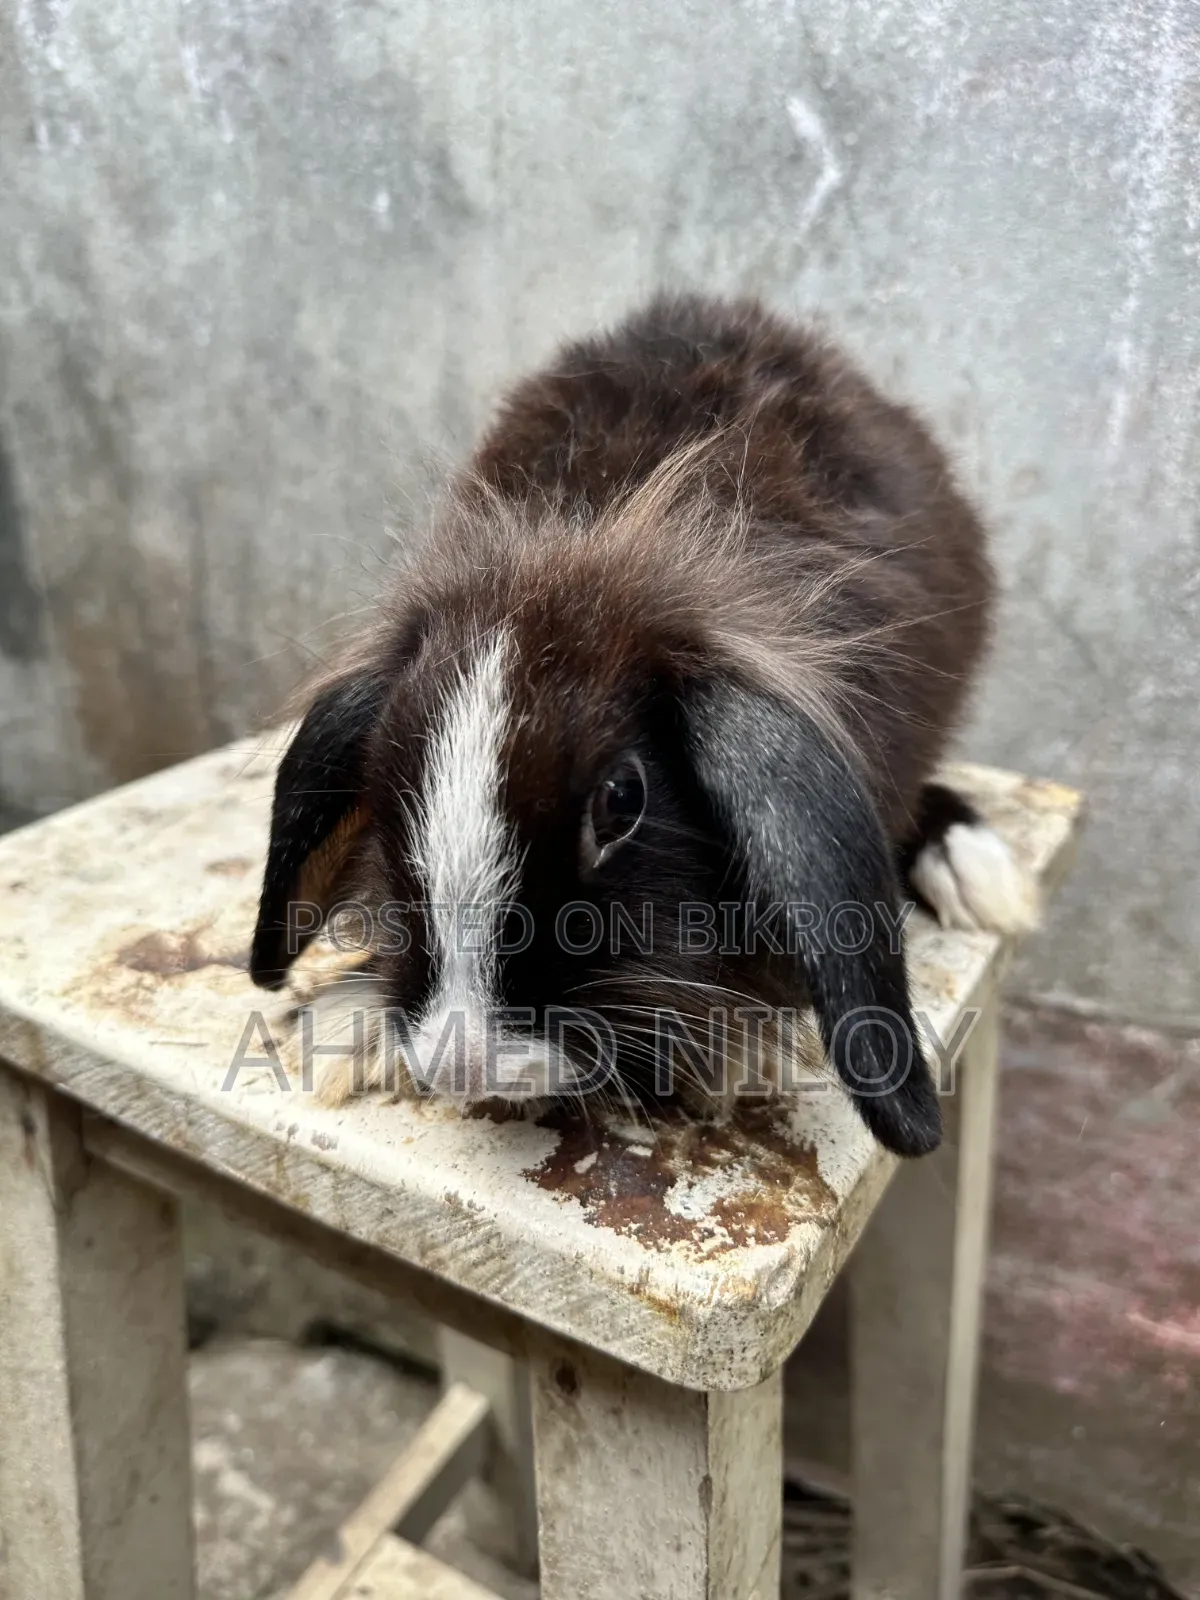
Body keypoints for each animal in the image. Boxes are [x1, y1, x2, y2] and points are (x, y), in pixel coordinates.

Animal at [249, 293, 1037, 1158]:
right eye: (385, 791)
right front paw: (348, 1025)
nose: (464, 1063)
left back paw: (969, 861)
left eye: (621, 802)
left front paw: (733, 1054)